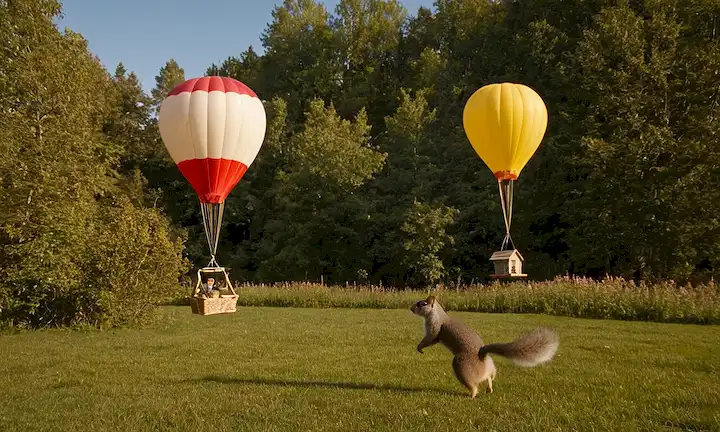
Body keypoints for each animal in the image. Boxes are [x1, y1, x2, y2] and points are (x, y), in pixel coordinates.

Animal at [410, 295, 560, 398]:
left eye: (422, 304)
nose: (411, 308)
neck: (437, 314)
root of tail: (482, 356)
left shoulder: (434, 328)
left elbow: (430, 338)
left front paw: (419, 348)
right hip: (489, 367)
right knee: (488, 376)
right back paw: (489, 388)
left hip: (462, 366)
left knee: (474, 385)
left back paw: (472, 395)